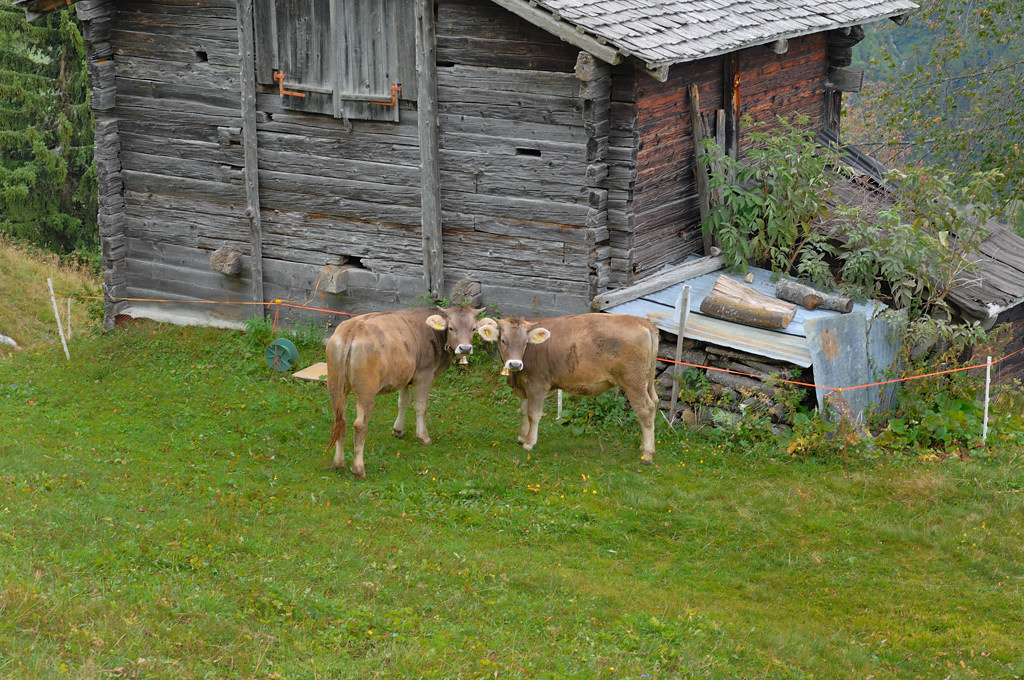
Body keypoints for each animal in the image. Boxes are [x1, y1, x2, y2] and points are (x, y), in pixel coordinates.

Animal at [327, 307, 487, 477]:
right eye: (451, 328)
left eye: (473, 328)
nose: (465, 348)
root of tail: (353, 328)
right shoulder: (424, 375)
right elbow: (421, 406)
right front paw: (424, 437)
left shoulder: (405, 376)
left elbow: (403, 402)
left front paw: (398, 430)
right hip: (366, 391)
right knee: (359, 425)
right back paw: (358, 469)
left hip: (336, 386)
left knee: (340, 420)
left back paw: (338, 463)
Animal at [477, 315, 659, 464]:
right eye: (503, 340)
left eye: (524, 343)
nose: (515, 364)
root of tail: (642, 321)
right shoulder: (524, 385)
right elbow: (523, 411)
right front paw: (522, 436)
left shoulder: (537, 385)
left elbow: (533, 415)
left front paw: (529, 443)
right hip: (646, 383)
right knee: (654, 402)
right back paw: (644, 447)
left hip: (633, 383)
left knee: (645, 410)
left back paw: (648, 454)